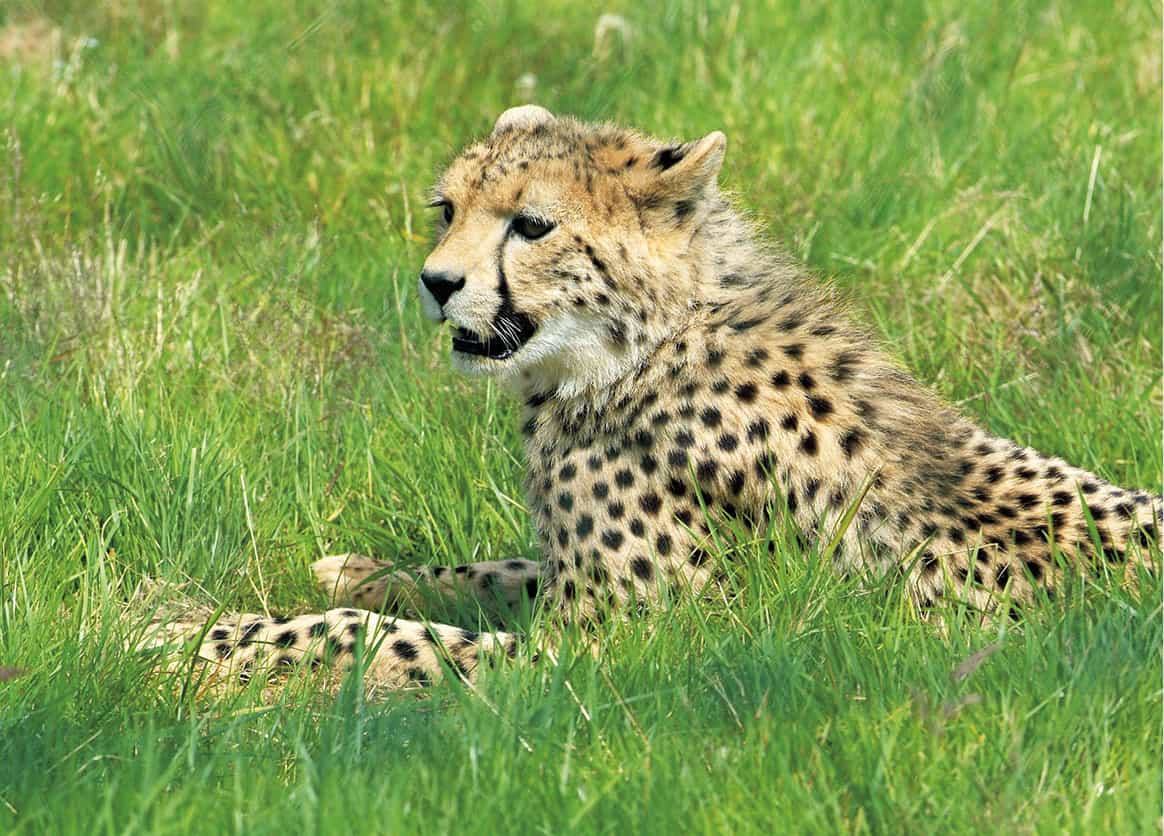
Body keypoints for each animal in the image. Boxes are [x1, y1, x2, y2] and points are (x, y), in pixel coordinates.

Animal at [147, 104, 1164, 693]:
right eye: (447, 210)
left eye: (533, 225)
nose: (436, 283)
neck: (637, 347)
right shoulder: (571, 589)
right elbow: (496, 570)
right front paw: (361, 569)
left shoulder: (610, 657)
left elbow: (384, 640)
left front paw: (201, 635)